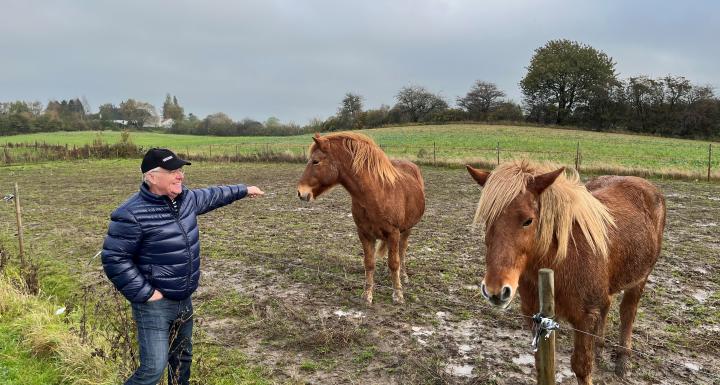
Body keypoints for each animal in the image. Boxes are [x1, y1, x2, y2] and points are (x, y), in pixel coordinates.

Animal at [296, 132, 424, 304]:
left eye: (315, 161)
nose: (300, 192)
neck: (377, 193)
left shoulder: (393, 233)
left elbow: (394, 263)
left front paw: (398, 294)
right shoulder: (364, 234)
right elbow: (369, 263)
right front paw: (367, 294)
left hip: (407, 229)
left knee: (402, 251)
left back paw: (403, 276)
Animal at [466, 160, 664, 384]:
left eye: (528, 220)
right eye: (487, 219)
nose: (495, 291)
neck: (564, 259)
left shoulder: (585, 318)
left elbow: (582, 367)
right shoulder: (537, 318)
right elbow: (541, 364)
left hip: (640, 279)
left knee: (627, 312)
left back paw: (622, 359)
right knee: (607, 306)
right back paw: (600, 347)